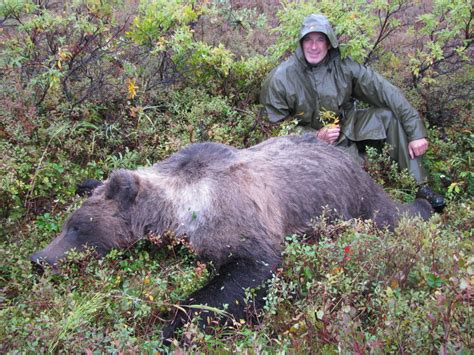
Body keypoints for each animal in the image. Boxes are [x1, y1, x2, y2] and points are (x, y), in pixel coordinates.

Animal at [28, 134, 430, 344]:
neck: (184, 205)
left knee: (389, 217)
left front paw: (173, 329)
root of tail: (360, 168)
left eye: (75, 226)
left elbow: (246, 275)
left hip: (354, 204)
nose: (38, 259)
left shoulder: (245, 221)